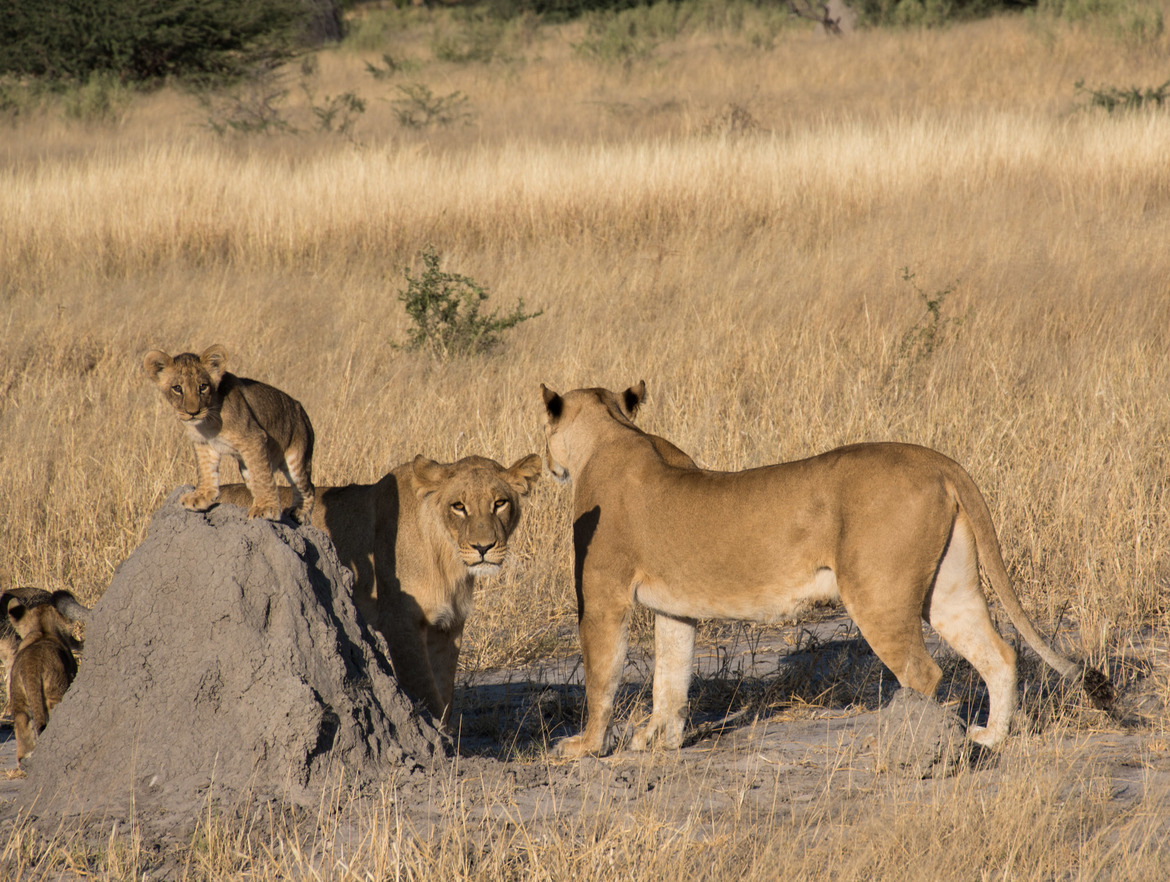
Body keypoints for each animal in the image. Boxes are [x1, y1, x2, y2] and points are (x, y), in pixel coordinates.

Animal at [2, 589, 88, 763]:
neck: (41, 631)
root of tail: (31, 667)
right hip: (55, 689)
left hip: (18, 696)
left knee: (22, 723)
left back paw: (24, 759)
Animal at [143, 345, 315, 523]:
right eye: (177, 388)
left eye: (203, 386)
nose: (193, 412)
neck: (207, 422)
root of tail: (301, 410)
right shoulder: (203, 443)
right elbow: (206, 471)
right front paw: (201, 497)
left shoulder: (254, 438)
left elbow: (262, 477)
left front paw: (265, 509)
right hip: (246, 468)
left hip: (296, 459)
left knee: (308, 488)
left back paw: (299, 513)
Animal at [218, 453, 542, 721]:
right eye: (459, 507)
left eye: (500, 503)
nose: (483, 547)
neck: (449, 559)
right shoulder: (401, 623)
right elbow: (425, 690)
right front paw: (438, 742)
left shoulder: (448, 627)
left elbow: (445, 690)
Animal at [540, 382, 1113, 758]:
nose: (549, 465)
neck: (613, 433)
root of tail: (936, 460)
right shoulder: (676, 611)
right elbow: (671, 677)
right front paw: (660, 741)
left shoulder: (602, 598)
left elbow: (602, 678)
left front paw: (586, 746)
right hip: (949, 590)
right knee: (1000, 654)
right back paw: (990, 739)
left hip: (877, 593)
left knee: (924, 672)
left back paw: (908, 746)